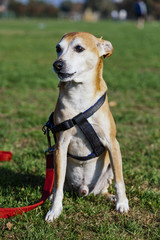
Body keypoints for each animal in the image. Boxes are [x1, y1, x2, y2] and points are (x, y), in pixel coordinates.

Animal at [44, 31, 129, 223]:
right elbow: (57, 186)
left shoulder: (112, 143)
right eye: (58, 48)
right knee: (58, 185)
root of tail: (83, 190)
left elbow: (120, 180)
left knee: (104, 189)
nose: (57, 64)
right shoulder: (60, 145)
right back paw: (51, 197)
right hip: (59, 163)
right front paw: (54, 210)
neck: (80, 96)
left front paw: (122, 203)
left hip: (108, 168)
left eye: (79, 48)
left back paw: (111, 197)